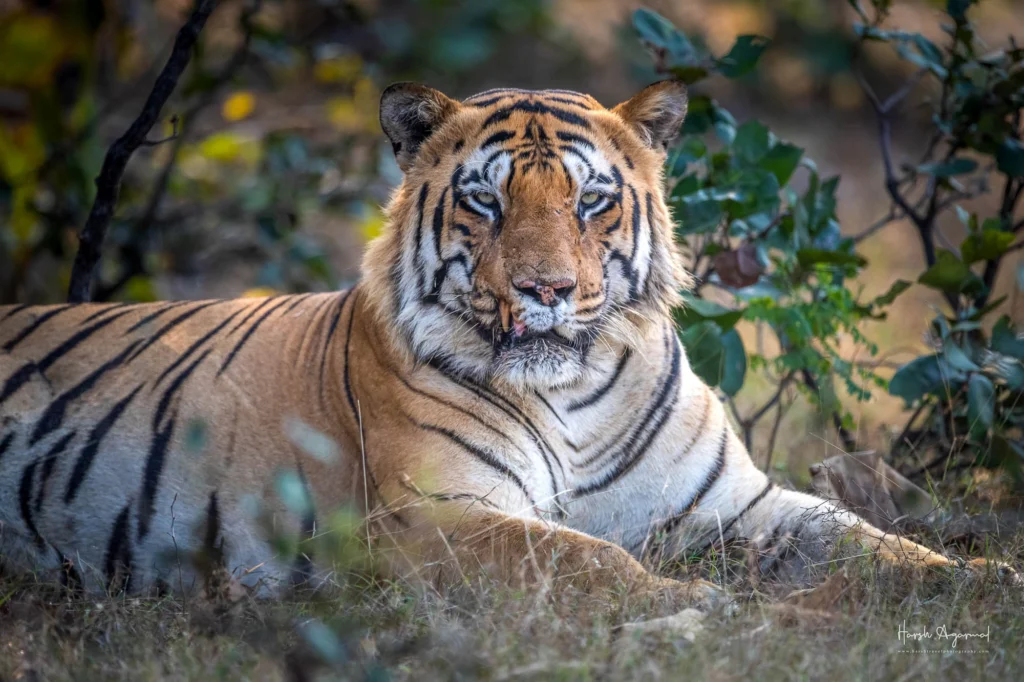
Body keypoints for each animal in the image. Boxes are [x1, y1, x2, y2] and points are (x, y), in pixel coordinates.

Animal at [0, 81, 1014, 604]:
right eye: (486, 201)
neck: (574, 398)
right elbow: (580, 555)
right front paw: (691, 605)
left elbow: (872, 540)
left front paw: (988, 578)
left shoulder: (737, 504)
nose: (547, 290)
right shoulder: (433, 516)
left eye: (591, 200)